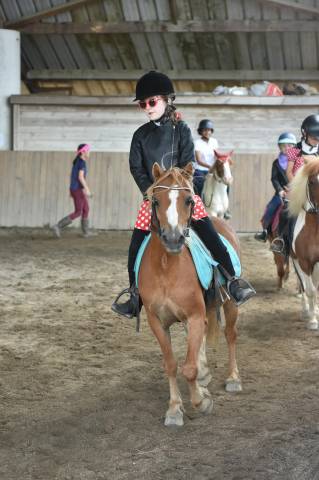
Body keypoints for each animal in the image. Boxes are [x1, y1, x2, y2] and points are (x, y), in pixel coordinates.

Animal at [140, 163, 242, 426]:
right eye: (155, 200)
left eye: (188, 200)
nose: (173, 238)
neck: (166, 267)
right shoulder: (157, 322)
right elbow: (171, 364)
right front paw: (175, 409)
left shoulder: (194, 316)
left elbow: (188, 368)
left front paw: (202, 402)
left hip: (230, 303)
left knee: (230, 334)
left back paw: (233, 378)